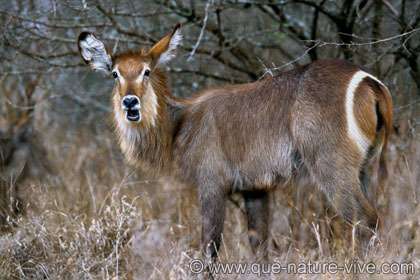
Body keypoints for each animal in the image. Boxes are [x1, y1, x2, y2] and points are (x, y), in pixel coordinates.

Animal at [77, 24, 392, 260]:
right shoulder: (256, 189)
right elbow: (260, 246)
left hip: (332, 166)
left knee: (365, 219)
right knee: (377, 216)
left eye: (146, 71)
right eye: (115, 73)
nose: (131, 102)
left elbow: (210, 248)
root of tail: (369, 81)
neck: (180, 124)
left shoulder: (211, 184)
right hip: (369, 166)